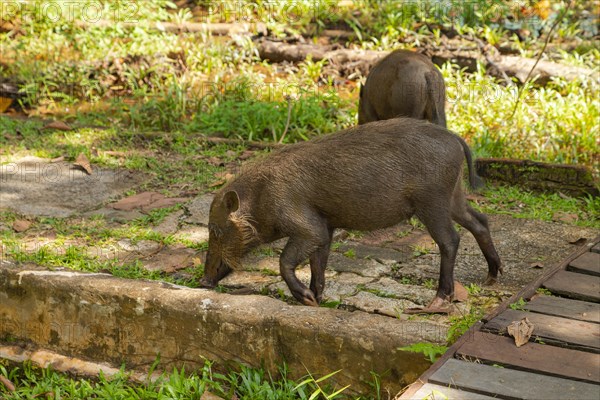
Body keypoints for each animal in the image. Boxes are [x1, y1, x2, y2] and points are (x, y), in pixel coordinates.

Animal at [199, 117, 500, 314]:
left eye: (215, 229)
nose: (203, 281)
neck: (260, 197)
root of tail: (456, 139)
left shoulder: (307, 226)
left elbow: (285, 260)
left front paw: (306, 299)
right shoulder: (325, 227)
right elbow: (318, 263)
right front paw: (317, 299)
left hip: (432, 201)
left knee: (451, 240)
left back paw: (435, 303)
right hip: (454, 197)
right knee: (480, 221)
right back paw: (492, 277)